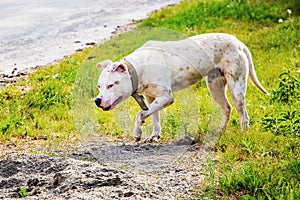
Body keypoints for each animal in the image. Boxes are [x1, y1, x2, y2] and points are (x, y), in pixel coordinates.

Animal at [95, 32, 268, 142]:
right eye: (99, 86)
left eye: (111, 85)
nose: (97, 100)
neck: (138, 69)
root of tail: (238, 42)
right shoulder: (151, 98)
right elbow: (153, 117)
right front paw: (154, 136)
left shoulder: (166, 97)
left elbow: (140, 114)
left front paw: (137, 133)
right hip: (215, 86)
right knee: (227, 108)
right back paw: (220, 131)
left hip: (236, 87)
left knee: (243, 114)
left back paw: (243, 133)